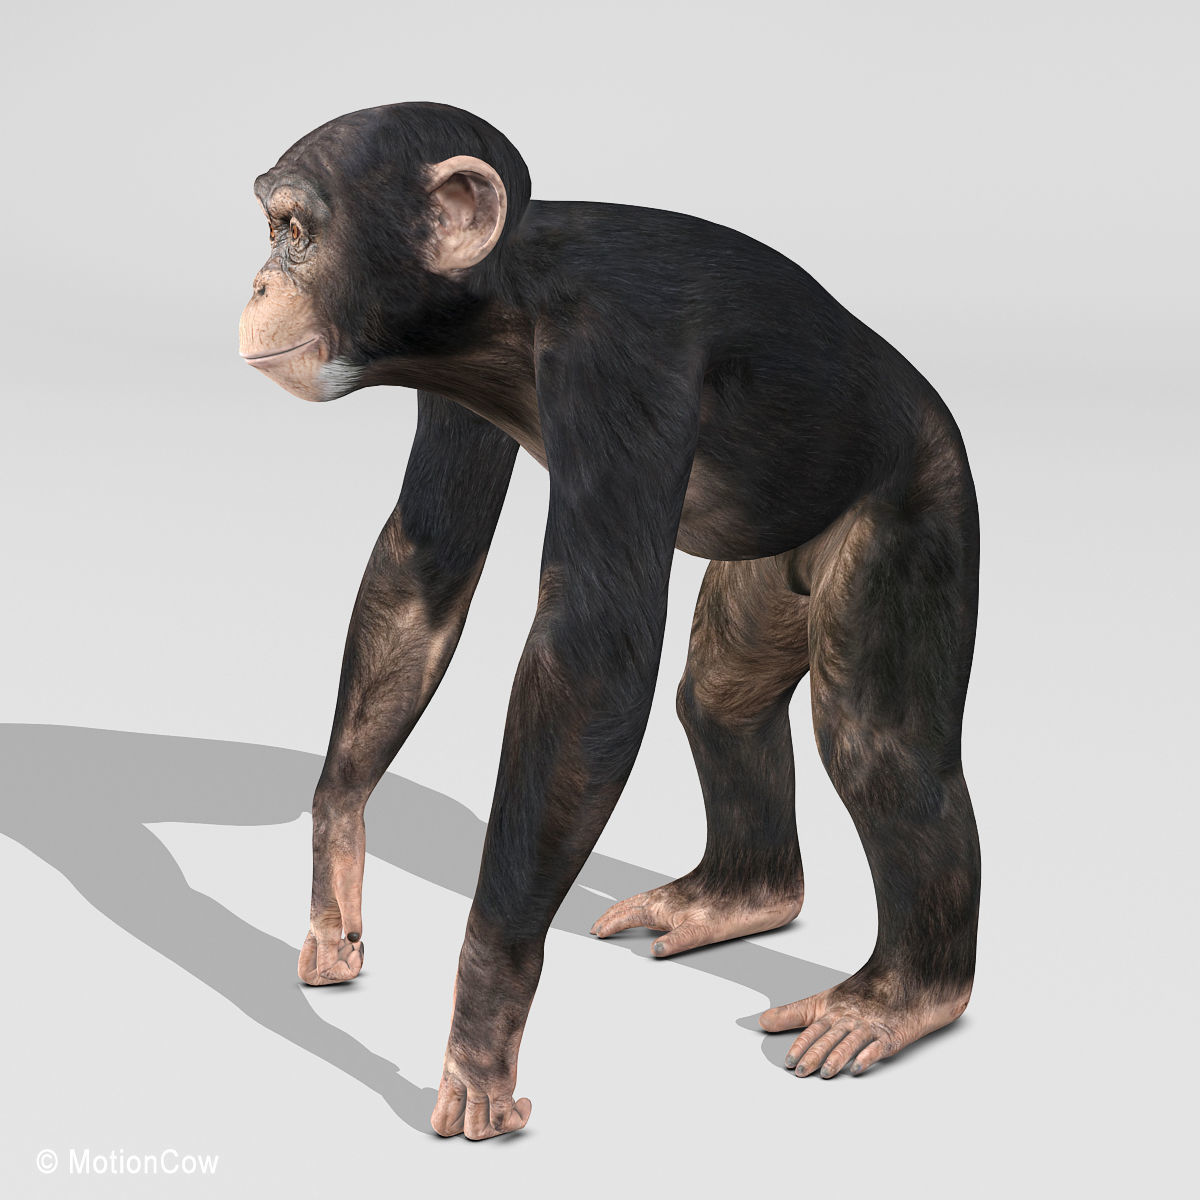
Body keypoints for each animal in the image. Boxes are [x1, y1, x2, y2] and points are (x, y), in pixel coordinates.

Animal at [238, 102, 981, 1141]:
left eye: (295, 230)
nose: (259, 280)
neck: (505, 302)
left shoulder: (619, 364)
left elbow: (587, 660)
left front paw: (482, 1030)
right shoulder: (447, 385)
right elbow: (425, 568)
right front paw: (335, 862)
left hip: (922, 502)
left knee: (882, 750)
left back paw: (905, 997)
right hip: (770, 571)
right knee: (721, 700)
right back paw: (737, 897)